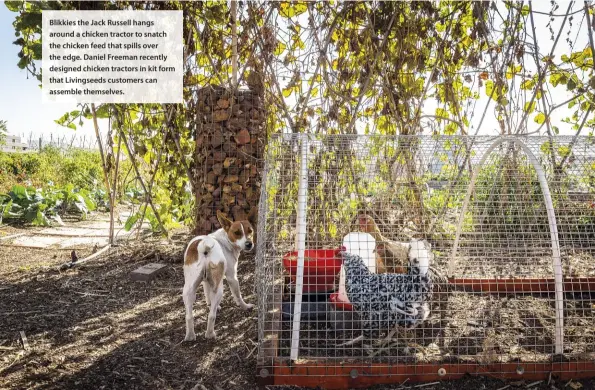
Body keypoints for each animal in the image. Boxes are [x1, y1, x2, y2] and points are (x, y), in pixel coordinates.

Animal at [183, 210, 255, 342]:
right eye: (237, 233)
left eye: (250, 231)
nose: (249, 244)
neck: (224, 240)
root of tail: (204, 247)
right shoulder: (232, 277)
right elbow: (238, 296)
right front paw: (245, 306)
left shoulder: (206, 281)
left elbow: (207, 294)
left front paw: (211, 304)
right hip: (219, 289)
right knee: (211, 316)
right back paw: (210, 334)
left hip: (188, 290)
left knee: (189, 316)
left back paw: (190, 335)